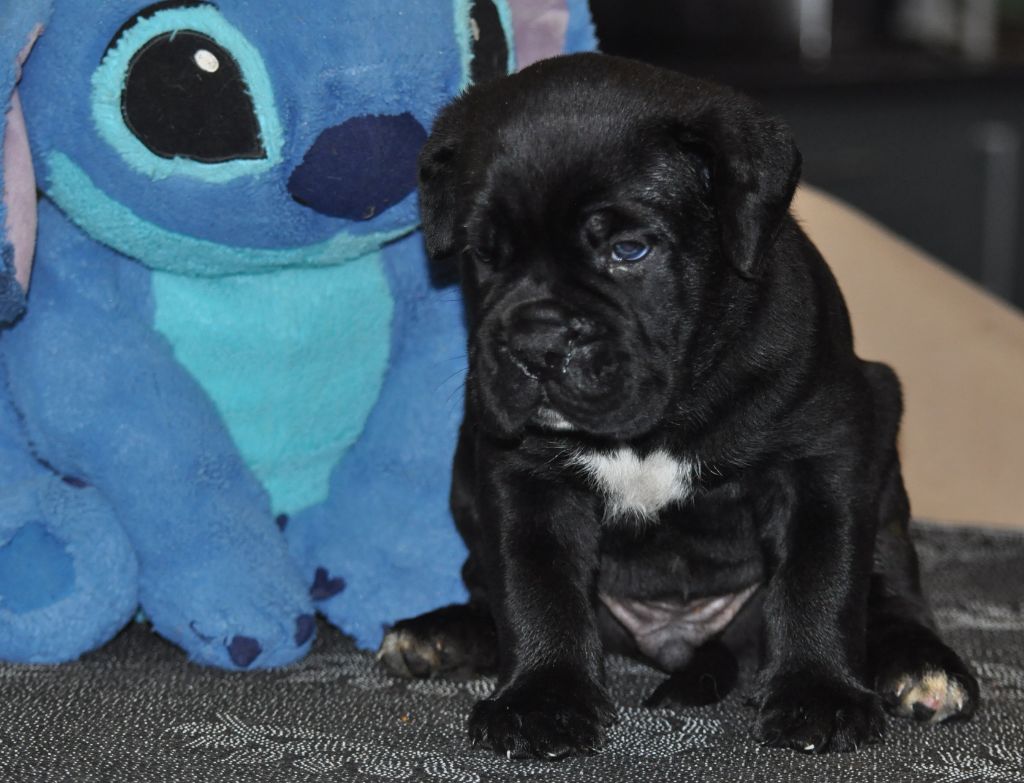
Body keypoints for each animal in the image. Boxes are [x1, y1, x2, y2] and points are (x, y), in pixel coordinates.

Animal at [378, 52, 979, 758]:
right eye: (482, 253)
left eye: (629, 250)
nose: (537, 342)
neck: (658, 419)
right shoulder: (520, 474)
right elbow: (533, 584)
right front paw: (541, 699)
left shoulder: (821, 458)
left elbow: (820, 576)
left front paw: (818, 694)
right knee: (485, 584)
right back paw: (441, 635)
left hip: (883, 448)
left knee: (892, 583)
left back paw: (921, 667)